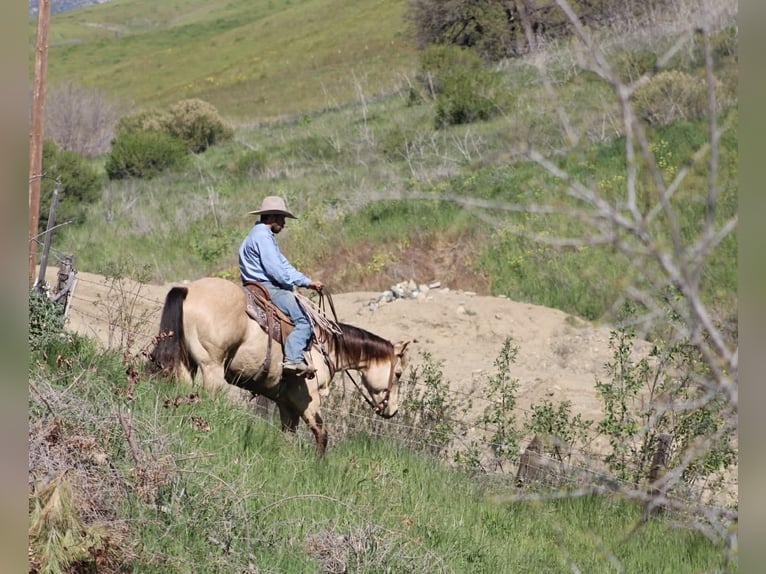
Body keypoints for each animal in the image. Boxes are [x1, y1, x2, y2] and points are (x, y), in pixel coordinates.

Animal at [148, 277, 410, 455]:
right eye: (398, 374)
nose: (393, 410)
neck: (325, 345)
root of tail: (188, 289)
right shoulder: (308, 397)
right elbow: (321, 433)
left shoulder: (285, 402)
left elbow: (289, 438)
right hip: (211, 367)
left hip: (186, 366)